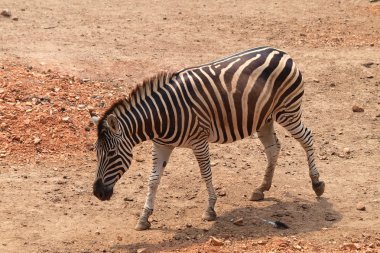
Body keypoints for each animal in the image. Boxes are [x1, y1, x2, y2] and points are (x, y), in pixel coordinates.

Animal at [93, 47, 326, 231]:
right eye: (96, 153)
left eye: (111, 153)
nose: (97, 193)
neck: (162, 116)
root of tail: (281, 51)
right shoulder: (161, 145)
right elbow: (153, 180)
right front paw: (144, 217)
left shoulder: (199, 140)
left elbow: (206, 173)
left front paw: (210, 209)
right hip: (264, 118)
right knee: (273, 147)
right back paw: (261, 188)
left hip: (288, 111)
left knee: (307, 138)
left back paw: (317, 183)